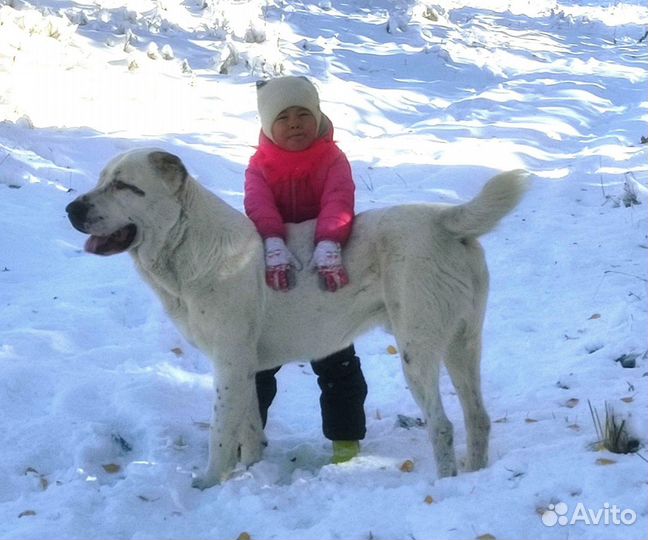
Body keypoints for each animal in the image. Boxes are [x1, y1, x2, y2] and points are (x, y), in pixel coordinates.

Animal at [64, 149, 528, 490]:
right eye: (102, 180)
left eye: (124, 186)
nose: (70, 208)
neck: (187, 245)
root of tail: (444, 218)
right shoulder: (246, 368)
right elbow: (249, 427)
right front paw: (252, 473)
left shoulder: (229, 363)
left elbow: (220, 430)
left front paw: (209, 483)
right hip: (463, 345)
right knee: (478, 417)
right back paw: (475, 476)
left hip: (418, 351)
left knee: (443, 425)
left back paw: (445, 484)